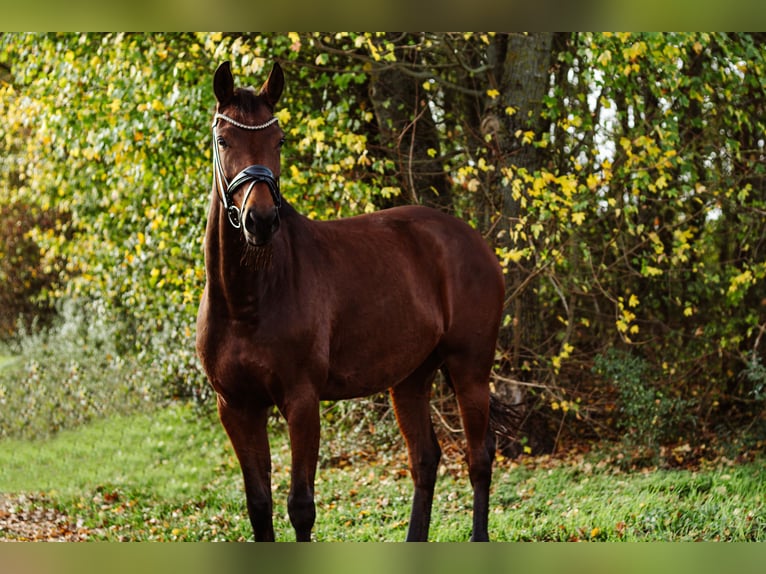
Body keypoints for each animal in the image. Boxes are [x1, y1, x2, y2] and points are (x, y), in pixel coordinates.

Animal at [196, 63, 504, 544]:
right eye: (224, 139)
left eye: (279, 139)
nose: (260, 221)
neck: (246, 302)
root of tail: (472, 240)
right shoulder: (236, 407)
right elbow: (259, 506)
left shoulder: (302, 402)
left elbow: (300, 507)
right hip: (411, 379)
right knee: (425, 460)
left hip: (469, 369)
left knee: (479, 457)